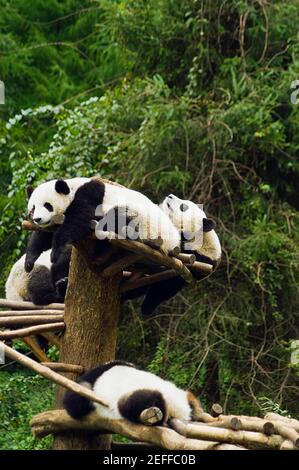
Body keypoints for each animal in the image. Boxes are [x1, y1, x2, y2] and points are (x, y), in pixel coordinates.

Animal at [25, 176, 180, 272]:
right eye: (33, 208)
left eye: (47, 205)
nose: (38, 219)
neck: (72, 188)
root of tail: (173, 242)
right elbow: (42, 236)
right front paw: (29, 262)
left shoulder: (90, 193)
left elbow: (78, 219)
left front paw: (55, 253)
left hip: (143, 221)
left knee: (117, 216)